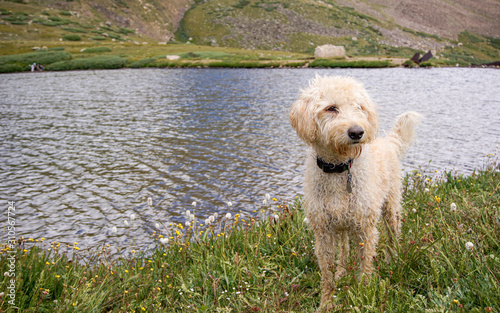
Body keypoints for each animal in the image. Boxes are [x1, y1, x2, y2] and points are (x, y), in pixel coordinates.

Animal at [290, 75, 422, 304]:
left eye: (359, 107)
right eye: (331, 108)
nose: (357, 132)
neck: (339, 169)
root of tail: (387, 142)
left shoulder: (365, 227)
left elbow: (364, 265)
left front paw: (363, 294)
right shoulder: (323, 230)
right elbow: (327, 273)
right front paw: (326, 302)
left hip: (391, 208)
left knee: (393, 236)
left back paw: (393, 260)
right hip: (341, 224)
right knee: (344, 248)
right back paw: (342, 272)